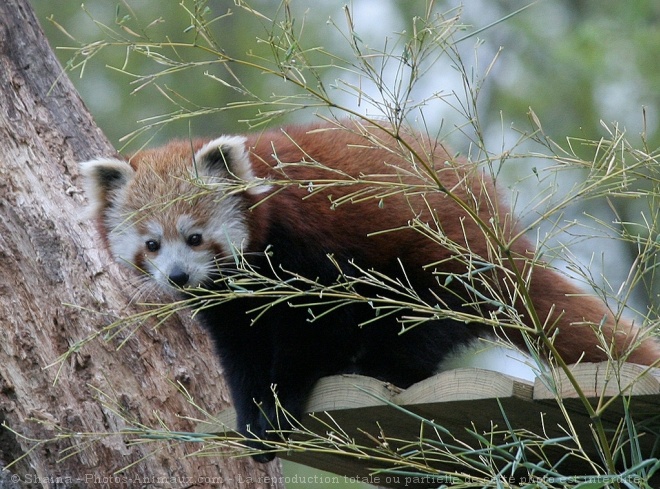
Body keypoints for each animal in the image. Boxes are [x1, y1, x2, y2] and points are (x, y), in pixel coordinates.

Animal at [81, 119, 660, 462]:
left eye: (195, 237)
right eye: (152, 244)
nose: (178, 276)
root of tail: (499, 227)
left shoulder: (313, 248)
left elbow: (316, 331)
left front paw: (283, 405)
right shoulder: (230, 305)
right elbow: (240, 353)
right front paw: (251, 417)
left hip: (437, 263)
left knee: (422, 323)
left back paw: (384, 368)